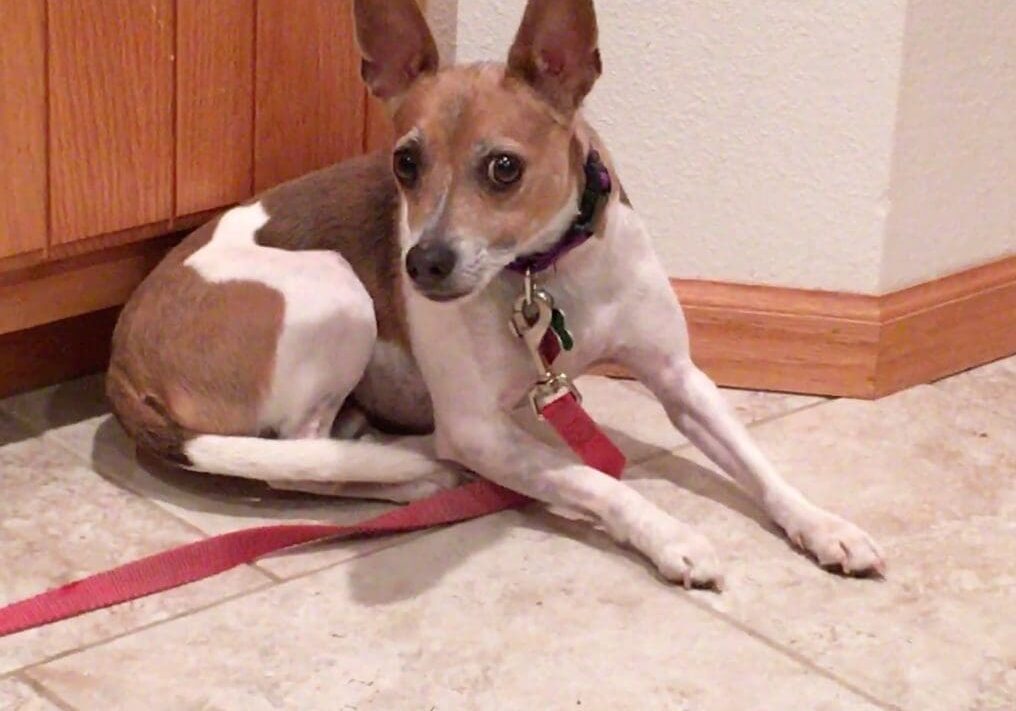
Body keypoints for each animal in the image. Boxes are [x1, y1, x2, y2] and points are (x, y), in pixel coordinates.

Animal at [105, 0, 881, 589]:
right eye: (405, 163)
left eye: (504, 167)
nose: (422, 263)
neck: (545, 271)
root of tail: (120, 360)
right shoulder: (480, 430)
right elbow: (597, 480)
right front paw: (669, 534)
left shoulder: (680, 376)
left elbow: (758, 464)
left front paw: (824, 524)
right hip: (336, 285)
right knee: (302, 462)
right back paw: (413, 473)